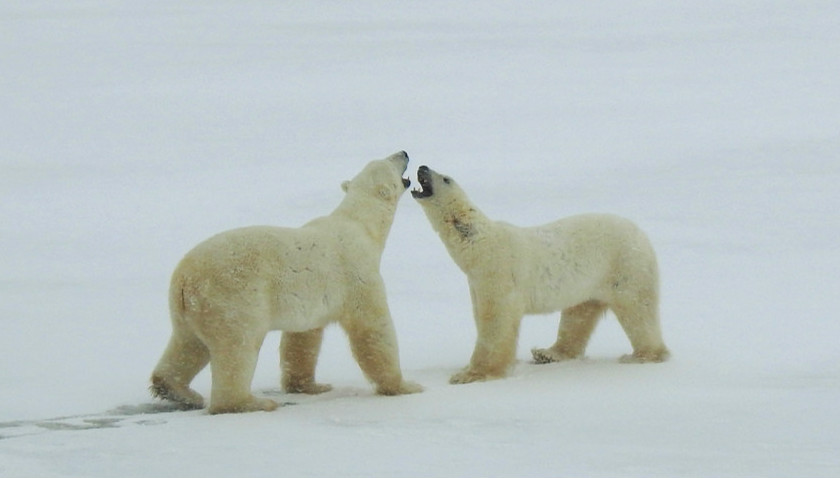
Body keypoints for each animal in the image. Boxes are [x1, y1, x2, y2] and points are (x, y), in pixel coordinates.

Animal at [148, 151, 424, 412]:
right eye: (390, 160)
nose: (404, 152)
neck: (360, 224)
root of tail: (185, 279)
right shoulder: (357, 273)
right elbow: (373, 328)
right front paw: (406, 386)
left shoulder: (312, 296)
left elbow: (303, 338)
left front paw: (311, 385)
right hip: (233, 299)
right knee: (238, 348)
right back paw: (252, 403)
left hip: (188, 310)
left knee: (188, 345)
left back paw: (177, 390)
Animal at [410, 166, 668, 382]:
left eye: (445, 178)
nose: (422, 167)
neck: (481, 246)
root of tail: (642, 233)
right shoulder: (476, 282)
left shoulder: (498, 273)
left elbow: (496, 322)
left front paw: (471, 374)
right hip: (590, 281)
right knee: (578, 315)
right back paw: (548, 353)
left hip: (625, 266)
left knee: (637, 310)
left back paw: (642, 355)